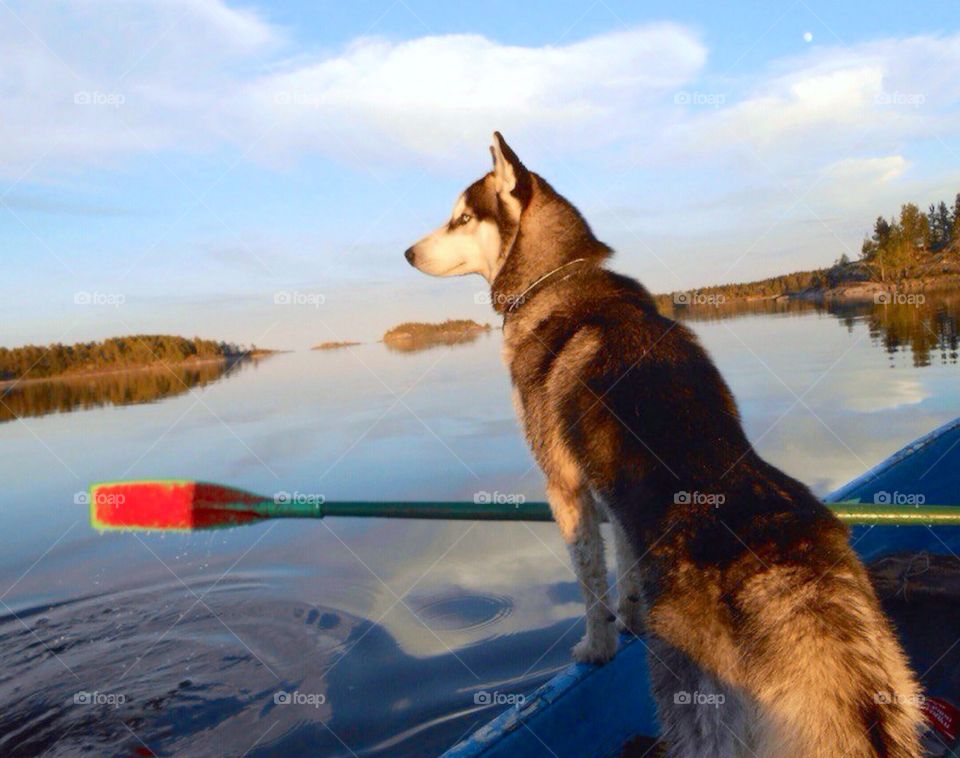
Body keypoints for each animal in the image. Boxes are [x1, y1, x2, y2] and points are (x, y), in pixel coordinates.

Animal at [404, 134, 924, 756]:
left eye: (460, 217)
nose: (407, 253)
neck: (554, 278)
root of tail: (798, 588)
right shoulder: (613, 494)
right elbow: (626, 568)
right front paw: (631, 620)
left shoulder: (566, 488)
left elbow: (591, 587)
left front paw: (597, 647)